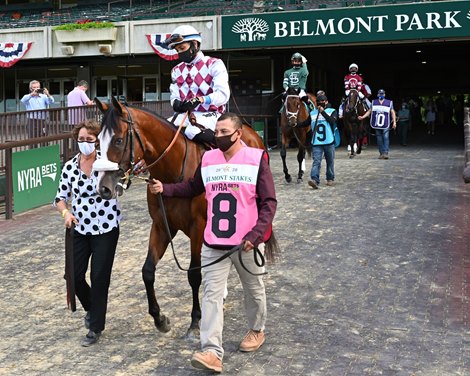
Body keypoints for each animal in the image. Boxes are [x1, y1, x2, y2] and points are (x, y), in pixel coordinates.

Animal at [92, 96, 268, 338]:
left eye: (118, 140)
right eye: (97, 142)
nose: (103, 188)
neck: (173, 173)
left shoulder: (198, 228)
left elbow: (194, 275)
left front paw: (195, 321)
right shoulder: (161, 226)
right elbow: (147, 271)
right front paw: (160, 319)